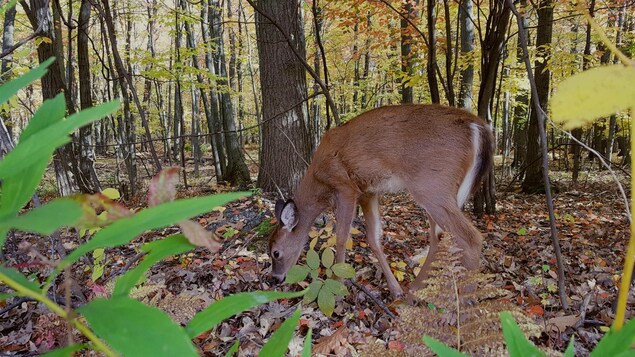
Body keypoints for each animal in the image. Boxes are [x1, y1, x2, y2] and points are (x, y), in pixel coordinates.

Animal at [268, 103, 496, 298]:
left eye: (275, 253)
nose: (276, 279)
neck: (319, 181)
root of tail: (479, 127)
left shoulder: (345, 187)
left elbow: (341, 237)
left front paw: (338, 286)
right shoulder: (368, 192)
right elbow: (374, 238)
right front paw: (395, 289)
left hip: (432, 185)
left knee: (470, 238)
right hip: (437, 191)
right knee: (438, 238)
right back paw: (414, 291)